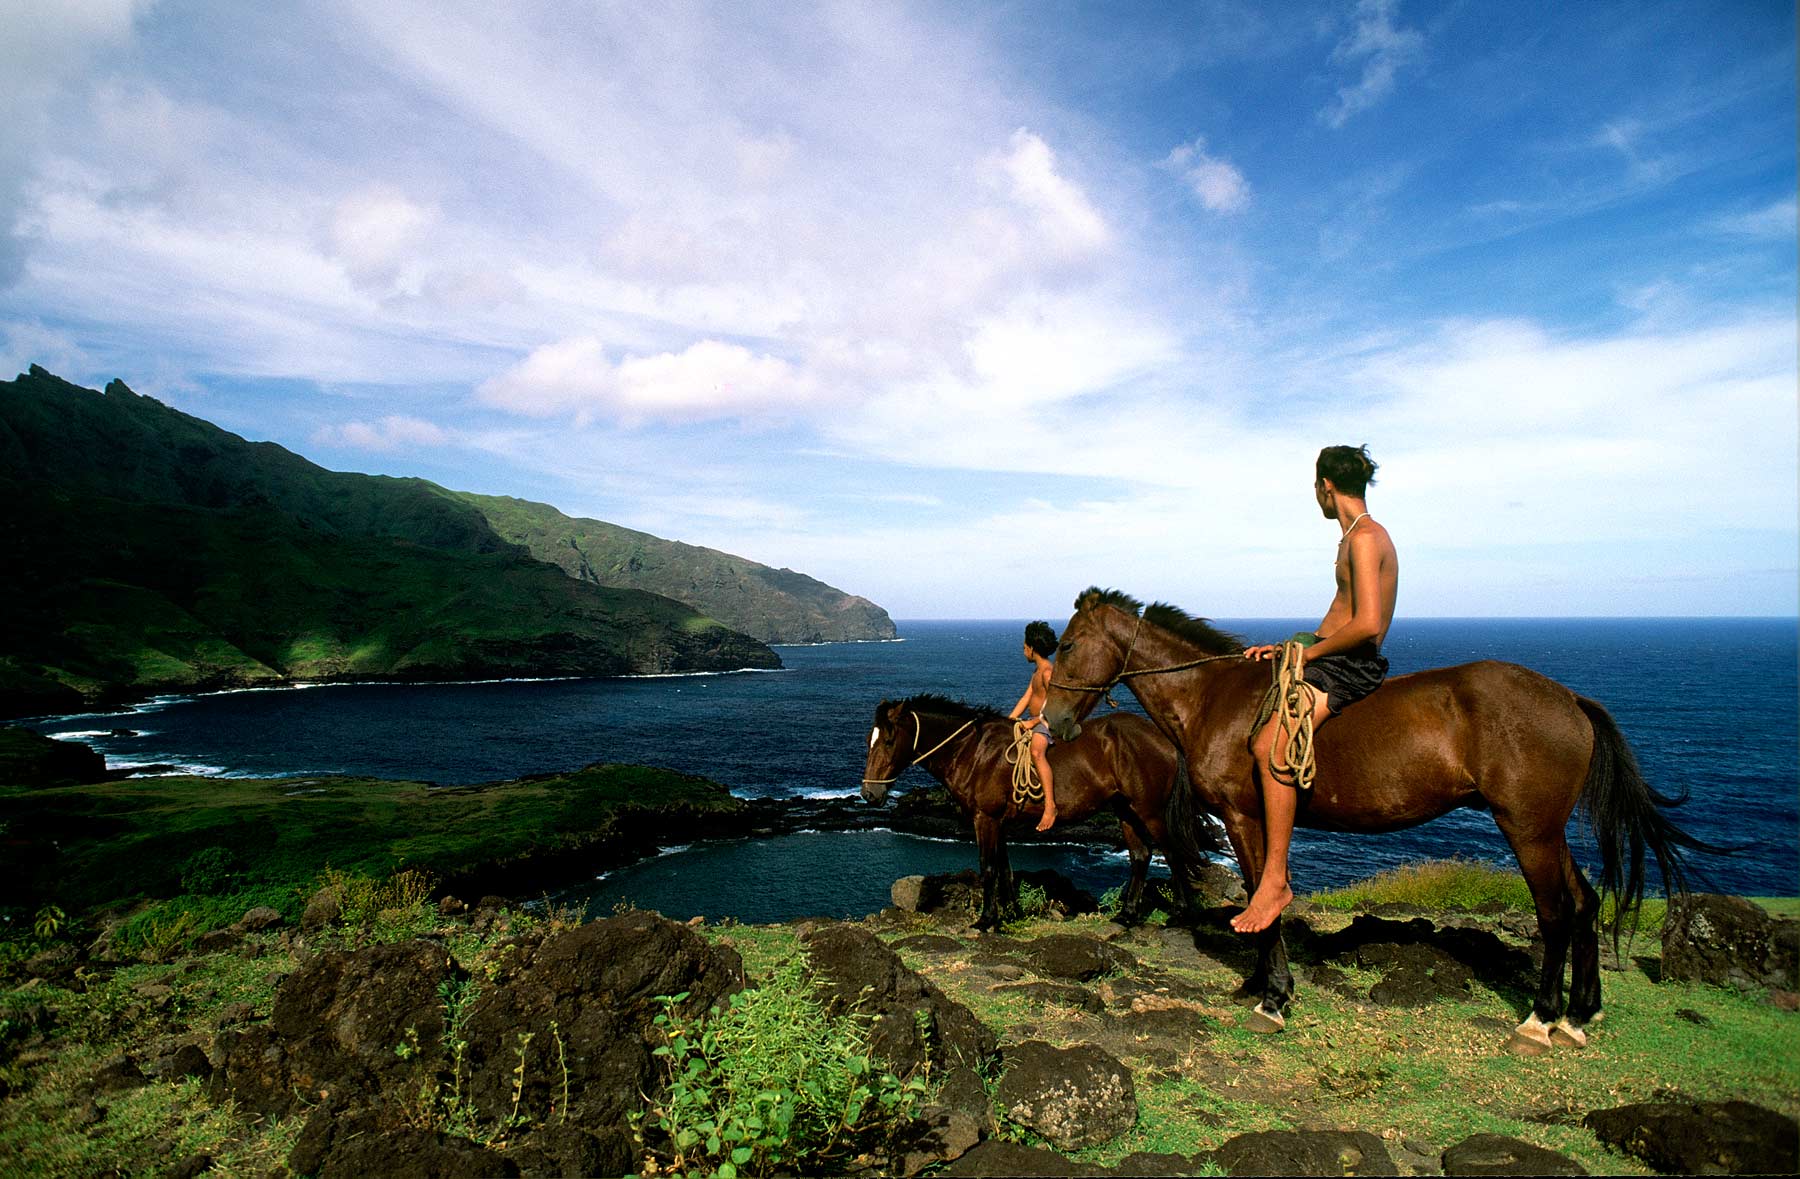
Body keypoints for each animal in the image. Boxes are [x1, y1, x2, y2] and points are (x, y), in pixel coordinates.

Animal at [856, 691, 1209, 928]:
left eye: (888, 740)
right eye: (869, 739)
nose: (869, 793)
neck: (973, 751)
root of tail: (1164, 740)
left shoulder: (984, 819)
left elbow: (988, 868)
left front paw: (987, 920)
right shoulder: (997, 822)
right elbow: (1004, 869)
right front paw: (1011, 913)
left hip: (1150, 811)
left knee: (1173, 853)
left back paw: (1183, 913)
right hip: (1126, 811)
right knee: (1141, 856)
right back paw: (1128, 915)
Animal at [1044, 586, 1713, 1058]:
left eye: (1068, 645)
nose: (1051, 721)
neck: (1216, 697)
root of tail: (1569, 699)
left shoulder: (1244, 816)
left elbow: (1265, 895)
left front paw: (1274, 997)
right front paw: (1257, 984)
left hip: (1528, 830)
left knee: (1555, 911)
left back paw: (1542, 1018)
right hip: (1546, 830)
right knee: (1586, 901)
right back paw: (1581, 1014)